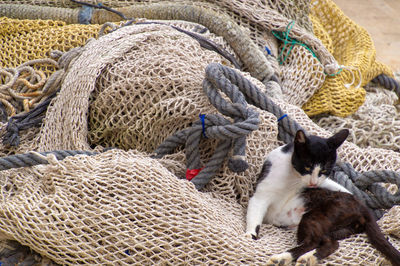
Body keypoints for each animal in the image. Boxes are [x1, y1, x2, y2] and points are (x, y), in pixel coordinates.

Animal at [268, 187, 400, 266]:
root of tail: (361, 205)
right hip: (339, 228)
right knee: (332, 243)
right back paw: (308, 258)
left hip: (312, 217)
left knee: (313, 242)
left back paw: (283, 258)